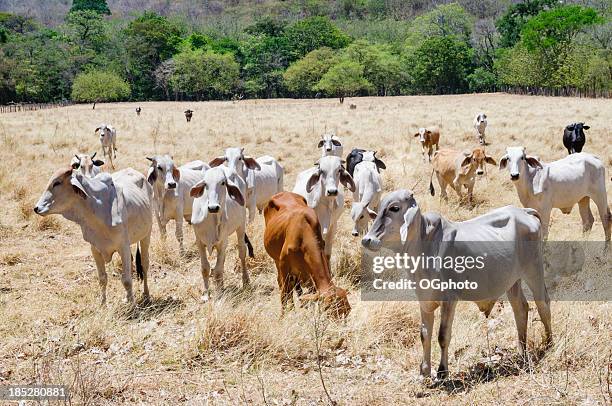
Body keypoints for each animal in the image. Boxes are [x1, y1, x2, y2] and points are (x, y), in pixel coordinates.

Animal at [33, 167, 153, 304]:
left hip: (146, 234)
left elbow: (127, 280)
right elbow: (102, 279)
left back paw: (146, 294)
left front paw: (132, 305)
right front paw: (103, 304)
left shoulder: (123, 247)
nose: (36, 208)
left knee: (144, 264)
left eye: (57, 183)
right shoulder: (95, 249)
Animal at [190, 165, 250, 302]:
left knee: (242, 252)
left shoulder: (223, 242)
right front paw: (206, 294)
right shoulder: (199, 242)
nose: (213, 207)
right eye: (205, 184)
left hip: (241, 226)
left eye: (223, 183)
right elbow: (205, 268)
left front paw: (218, 296)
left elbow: (217, 271)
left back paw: (245, 280)